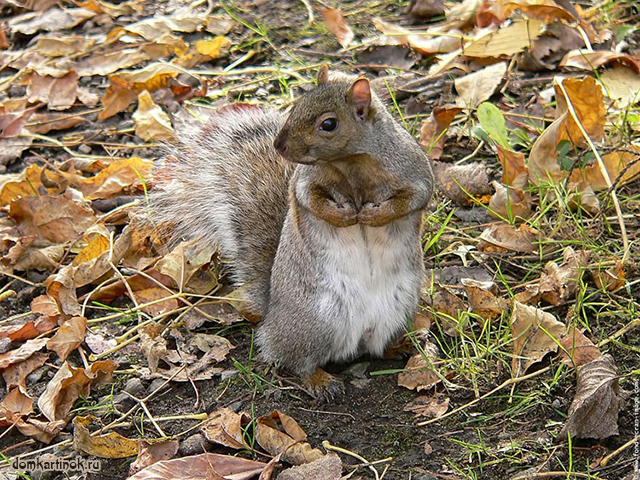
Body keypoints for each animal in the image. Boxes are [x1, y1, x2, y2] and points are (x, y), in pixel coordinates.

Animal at [151, 66, 436, 398]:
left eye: (329, 124)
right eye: (296, 106)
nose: (279, 145)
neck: (350, 165)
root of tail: (271, 320)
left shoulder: (414, 172)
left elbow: (414, 199)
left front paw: (373, 214)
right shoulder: (305, 182)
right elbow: (310, 200)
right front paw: (344, 216)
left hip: (397, 311)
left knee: (374, 348)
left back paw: (401, 346)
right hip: (317, 322)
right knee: (297, 360)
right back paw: (319, 380)